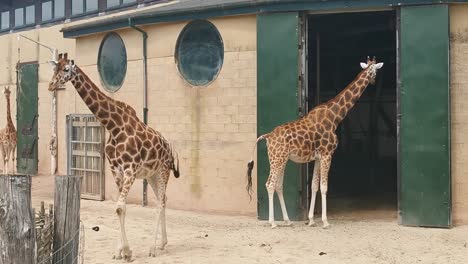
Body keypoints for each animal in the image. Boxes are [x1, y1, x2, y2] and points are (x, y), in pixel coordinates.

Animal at [47, 52, 179, 260]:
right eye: (55, 68)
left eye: (66, 69)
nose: (51, 85)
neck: (114, 126)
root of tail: (169, 148)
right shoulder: (116, 170)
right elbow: (119, 209)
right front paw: (120, 252)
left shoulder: (130, 169)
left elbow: (119, 206)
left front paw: (128, 252)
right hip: (151, 175)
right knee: (163, 200)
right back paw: (162, 243)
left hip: (163, 171)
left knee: (159, 203)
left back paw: (152, 248)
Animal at [245, 56, 384, 228]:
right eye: (372, 71)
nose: (373, 81)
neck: (335, 118)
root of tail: (268, 136)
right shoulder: (327, 154)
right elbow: (324, 187)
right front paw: (325, 221)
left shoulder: (318, 157)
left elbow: (314, 186)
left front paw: (311, 220)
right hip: (277, 159)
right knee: (270, 184)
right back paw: (273, 222)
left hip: (281, 159)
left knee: (278, 185)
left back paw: (287, 220)